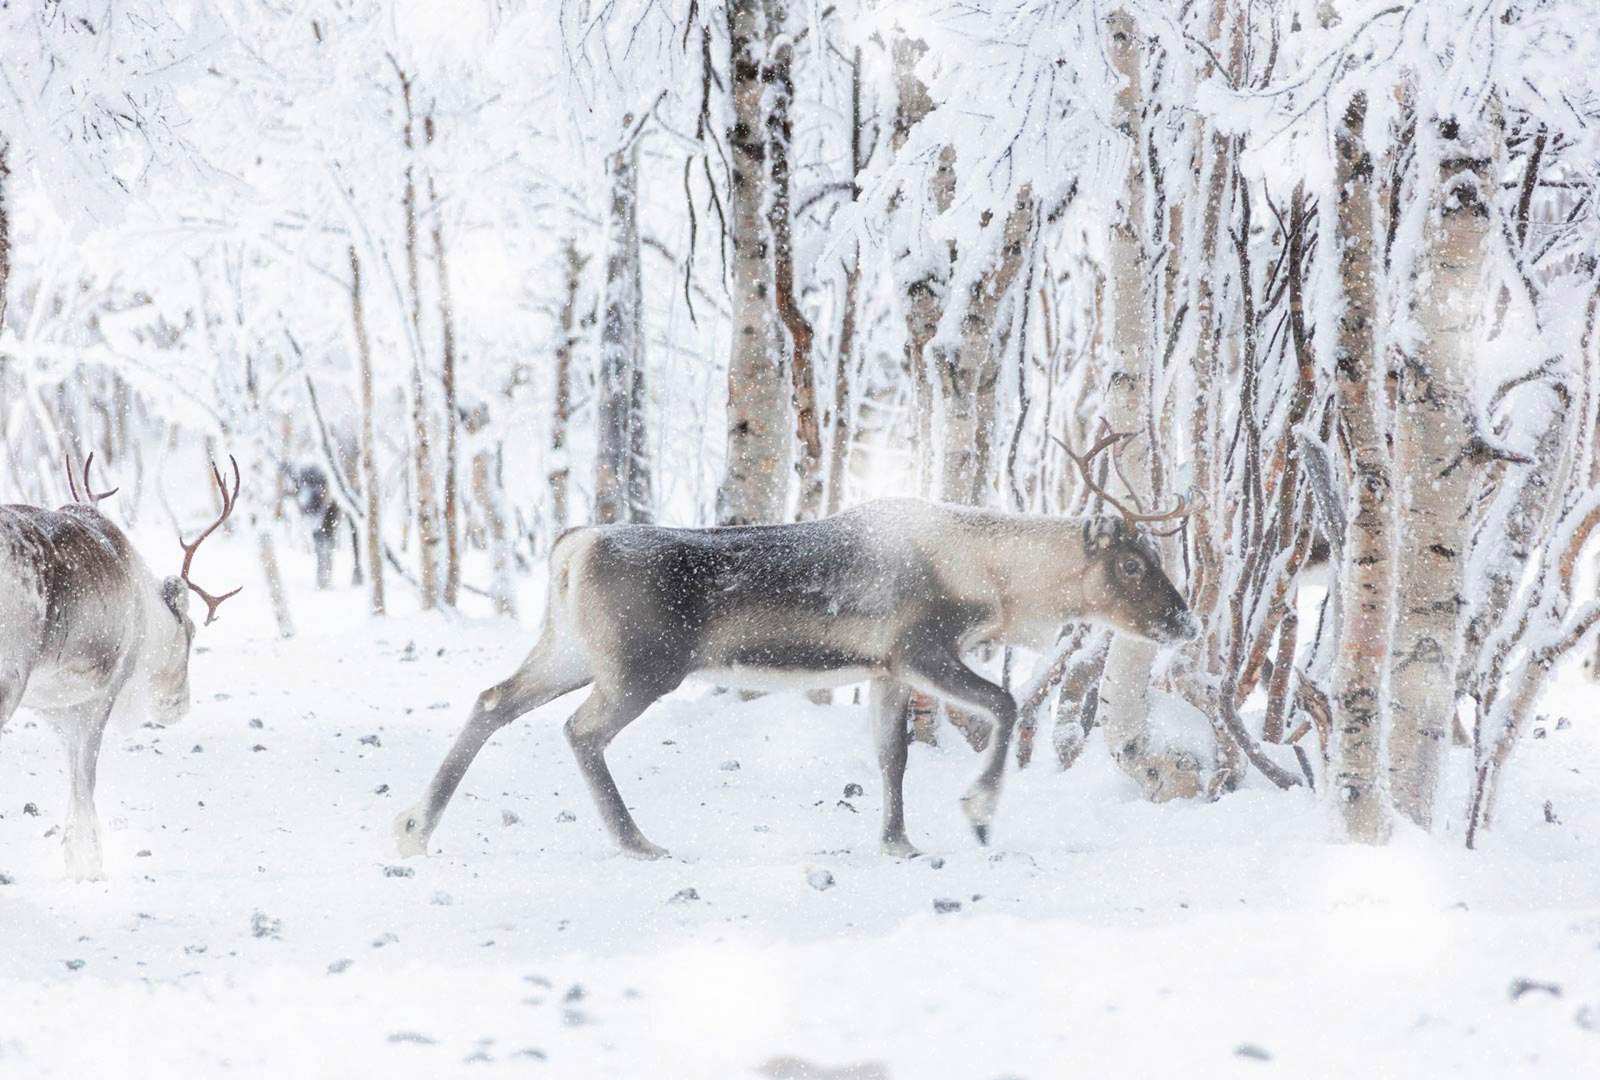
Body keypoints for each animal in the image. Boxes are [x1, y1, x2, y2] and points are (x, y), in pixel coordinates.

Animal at [0, 454, 241, 880]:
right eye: (191, 630)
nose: (178, 707)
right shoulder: (103, 692)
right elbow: (86, 780)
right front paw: (89, 867)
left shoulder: (57, 708)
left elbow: (74, 780)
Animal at [396, 429, 1196, 862]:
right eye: (1132, 565)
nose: (1186, 623)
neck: (996, 579)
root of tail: (571, 545)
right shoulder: (922, 646)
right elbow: (1002, 704)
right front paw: (977, 813)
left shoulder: (884, 668)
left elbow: (891, 756)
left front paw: (899, 841)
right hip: (640, 666)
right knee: (579, 729)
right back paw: (636, 842)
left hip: (569, 651)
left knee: (494, 699)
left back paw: (413, 828)